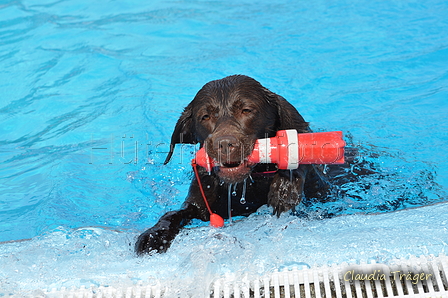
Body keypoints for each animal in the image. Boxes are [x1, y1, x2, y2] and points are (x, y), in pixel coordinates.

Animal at [135, 75, 330, 255]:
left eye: (246, 110)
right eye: (205, 116)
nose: (224, 144)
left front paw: (284, 187)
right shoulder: (198, 201)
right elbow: (173, 214)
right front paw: (154, 235)